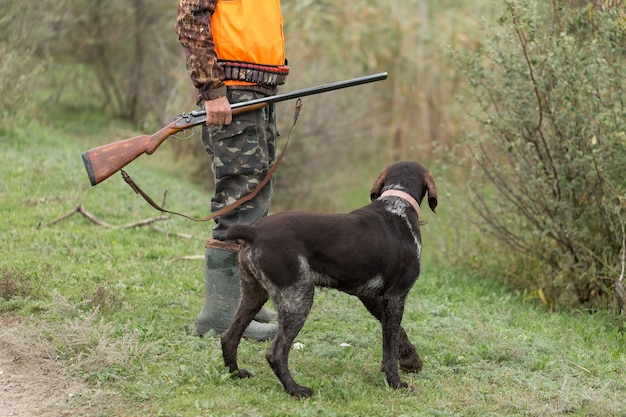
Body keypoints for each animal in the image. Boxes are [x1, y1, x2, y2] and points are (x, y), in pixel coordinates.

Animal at [222, 160, 436, 396]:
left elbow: (397, 336)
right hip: (298, 298)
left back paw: (236, 373)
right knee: (275, 352)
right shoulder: (396, 296)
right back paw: (295, 390)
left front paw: (410, 360)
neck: (398, 205)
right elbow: (390, 345)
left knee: (229, 337)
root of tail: (253, 231)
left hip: (255, 294)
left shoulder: (373, 298)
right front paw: (396, 383)